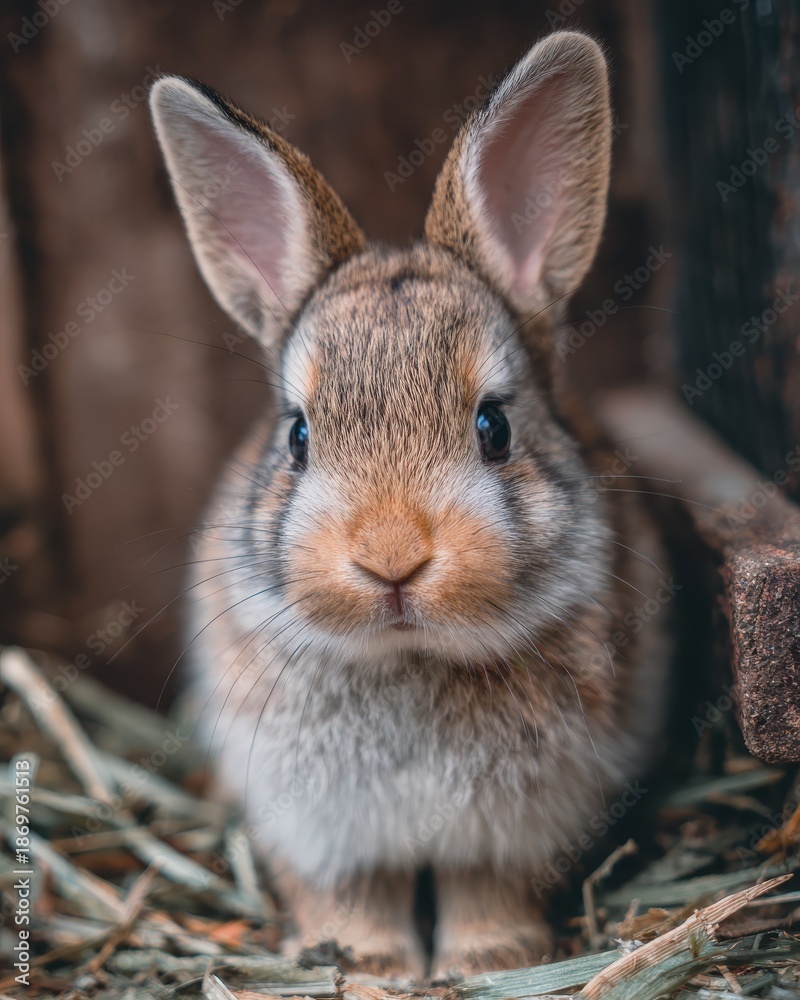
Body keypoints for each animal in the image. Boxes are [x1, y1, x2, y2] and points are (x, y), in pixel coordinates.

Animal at [149, 31, 670, 980]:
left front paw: (491, 959)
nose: (391, 558)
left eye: (494, 427)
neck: (409, 656)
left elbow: (486, 892)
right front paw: (368, 968)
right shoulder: (319, 834)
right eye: (298, 437)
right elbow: (353, 900)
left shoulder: (517, 834)